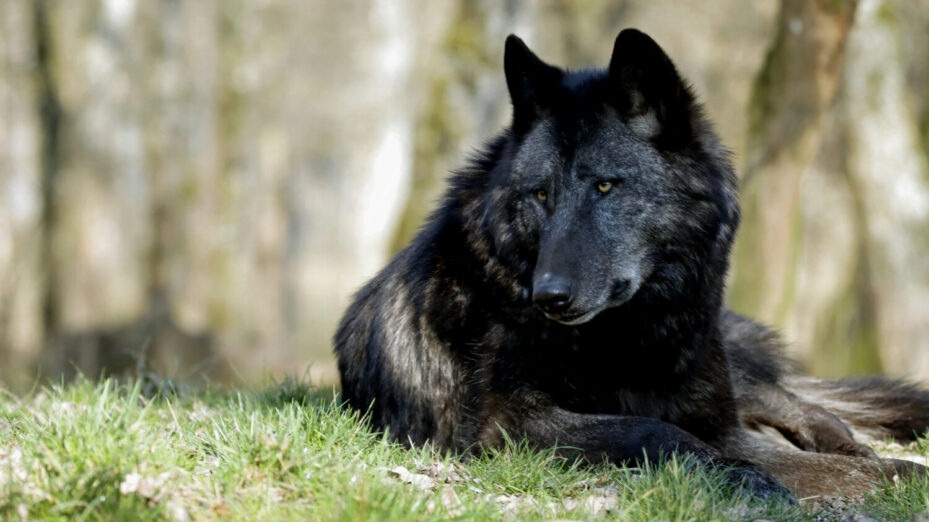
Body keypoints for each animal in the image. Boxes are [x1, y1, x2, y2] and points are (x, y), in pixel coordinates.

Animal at [335, 29, 929, 499]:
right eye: (541, 195)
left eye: (604, 186)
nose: (547, 296)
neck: (627, 336)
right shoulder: (505, 426)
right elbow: (651, 430)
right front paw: (740, 478)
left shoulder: (723, 425)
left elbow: (820, 462)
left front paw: (892, 474)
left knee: (808, 406)